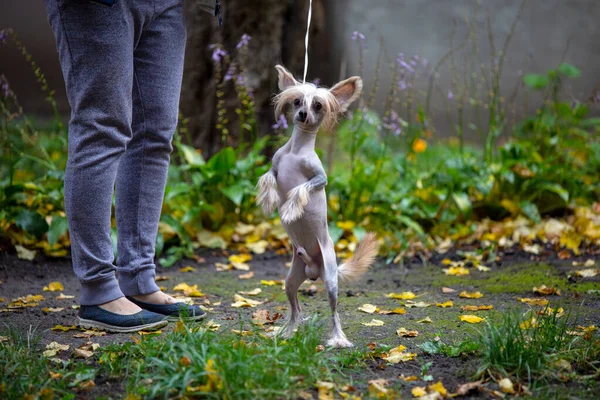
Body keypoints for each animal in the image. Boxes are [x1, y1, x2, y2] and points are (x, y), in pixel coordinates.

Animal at [254, 65, 380, 346]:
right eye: (297, 101)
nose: (303, 114)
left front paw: (290, 209)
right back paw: (287, 331)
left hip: (331, 283)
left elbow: (301, 188)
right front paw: (269, 200)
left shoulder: (320, 178)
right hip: (291, 280)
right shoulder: (275, 167)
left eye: (318, 105)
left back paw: (338, 340)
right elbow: (268, 178)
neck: (296, 151)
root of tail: (314, 270)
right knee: (295, 309)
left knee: (334, 313)